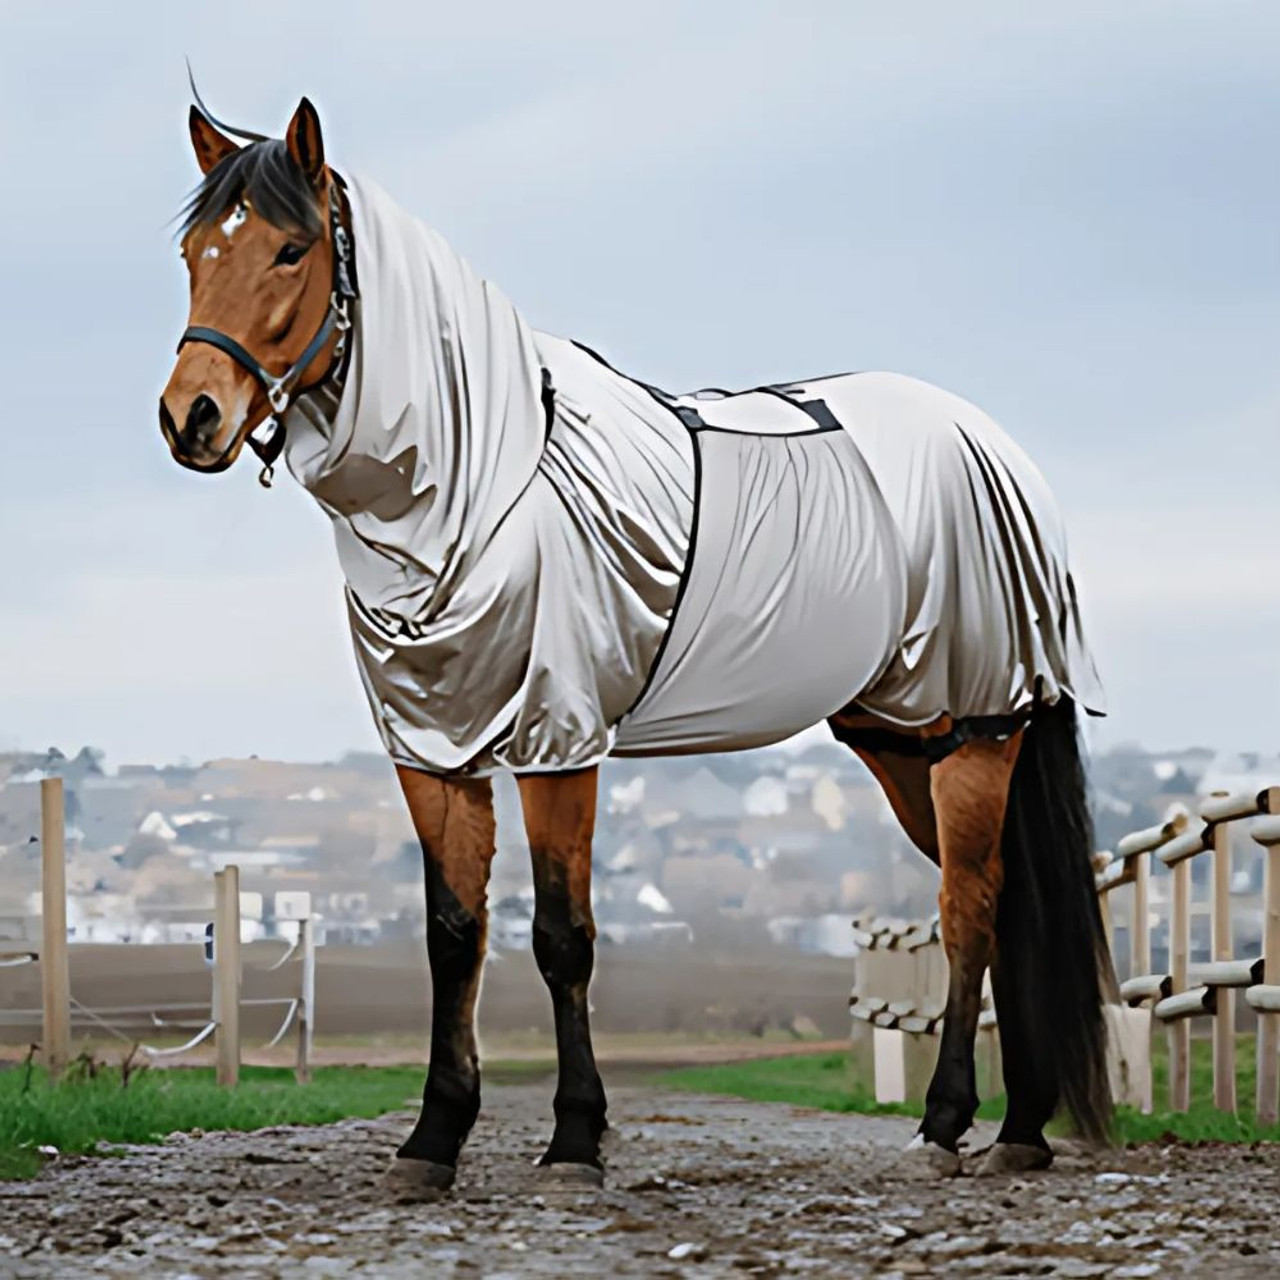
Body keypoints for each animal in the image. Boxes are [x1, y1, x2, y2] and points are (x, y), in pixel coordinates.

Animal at [159, 94, 1117, 1193]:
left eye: (289, 248)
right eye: (192, 250)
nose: (191, 417)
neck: (481, 482)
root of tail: (988, 443)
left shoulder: (558, 736)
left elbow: (560, 937)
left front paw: (575, 1138)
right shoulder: (433, 745)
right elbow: (455, 936)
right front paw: (434, 1138)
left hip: (981, 726)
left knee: (970, 906)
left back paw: (950, 1122)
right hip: (905, 734)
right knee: (1004, 907)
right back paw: (1019, 1126)